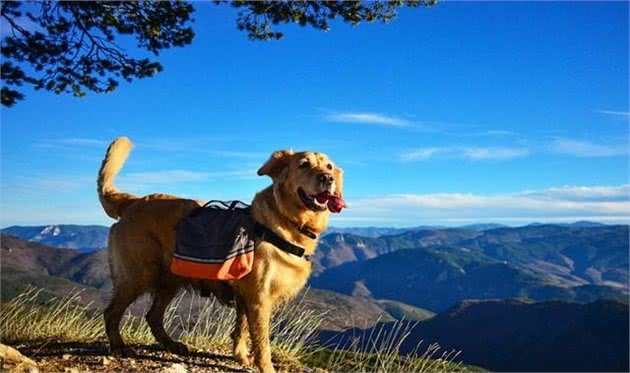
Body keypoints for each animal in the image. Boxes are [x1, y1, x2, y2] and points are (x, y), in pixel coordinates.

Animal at [97, 137, 346, 372]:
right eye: (304, 164)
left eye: (329, 166)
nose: (327, 178)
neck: (286, 221)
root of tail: (133, 202)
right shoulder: (259, 299)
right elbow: (262, 343)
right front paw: (265, 367)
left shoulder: (246, 296)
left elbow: (241, 330)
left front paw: (241, 356)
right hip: (138, 276)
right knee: (111, 313)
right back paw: (119, 346)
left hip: (169, 279)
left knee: (153, 316)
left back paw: (171, 344)